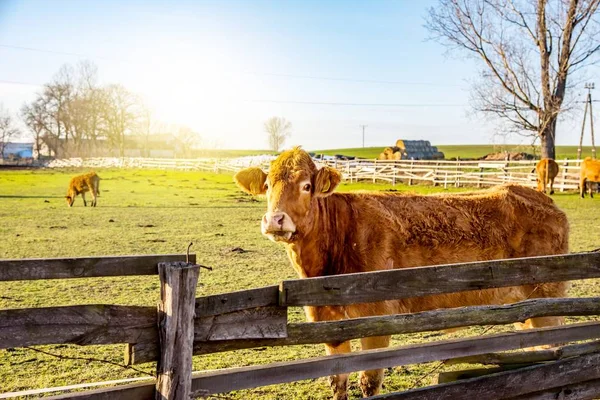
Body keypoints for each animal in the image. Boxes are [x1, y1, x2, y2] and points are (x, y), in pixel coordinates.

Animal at [233, 148, 568, 400]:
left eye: (306, 186)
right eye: (267, 186)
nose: (275, 220)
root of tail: (543, 199)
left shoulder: (378, 320)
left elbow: (369, 382)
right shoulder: (328, 325)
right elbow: (338, 382)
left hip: (548, 300)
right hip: (527, 308)